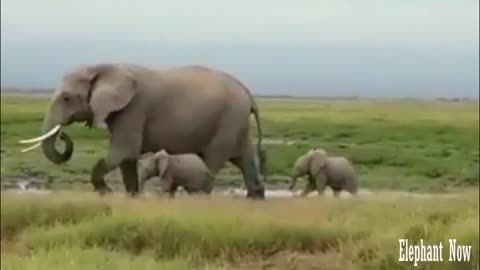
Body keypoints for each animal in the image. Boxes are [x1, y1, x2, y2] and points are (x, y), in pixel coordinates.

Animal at [19, 62, 266, 198]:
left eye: (67, 98)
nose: (62, 134)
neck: (105, 66)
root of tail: (249, 94)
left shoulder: (134, 109)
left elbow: (123, 152)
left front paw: (105, 192)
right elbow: (127, 160)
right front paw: (132, 197)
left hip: (227, 120)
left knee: (212, 160)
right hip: (236, 123)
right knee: (245, 161)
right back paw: (256, 198)